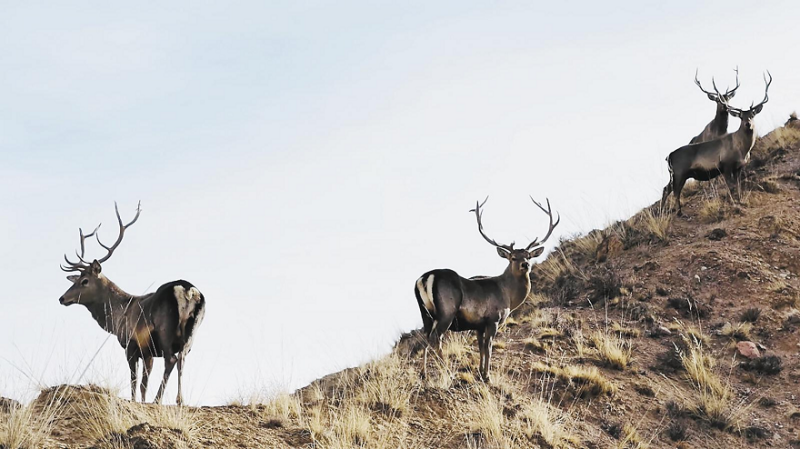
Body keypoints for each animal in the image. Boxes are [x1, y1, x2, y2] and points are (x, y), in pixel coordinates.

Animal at [58, 202, 205, 405]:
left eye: (84, 281)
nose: (62, 298)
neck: (118, 316)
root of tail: (187, 290)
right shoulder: (148, 351)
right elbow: (144, 382)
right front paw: (143, 401)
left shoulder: (131, 344)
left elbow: (135, 380)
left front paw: (136, 401)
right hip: (192, 331)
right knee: (182, 359)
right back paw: (179, 400)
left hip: (165, 329)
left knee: (171, 360)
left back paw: (158, 400)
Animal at [414, 196, 559, 382]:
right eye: (513, 257)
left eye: (528, 256)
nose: (525, 264)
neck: (508, 297)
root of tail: (426, 278)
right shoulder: (493, 318)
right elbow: (489, 347)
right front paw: (487, 375)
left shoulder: (479, 325)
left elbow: (481, 347)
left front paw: (480, 372)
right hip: (446, 311)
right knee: (436, 338)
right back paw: (447, 372)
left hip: (425, 313)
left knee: (425, 339)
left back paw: (423, 373)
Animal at [661, 72, 772, 216]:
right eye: (741, 116)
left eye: (752, 114)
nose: (748, 124)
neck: (742, 150)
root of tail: (668, 156)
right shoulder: (725, 165)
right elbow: (730, 186)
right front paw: (732, 203)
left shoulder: (739, 167)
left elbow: (738, 185)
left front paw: (741, 200)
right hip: (680, 172)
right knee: (675, 191)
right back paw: (679, 213)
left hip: (675, 174)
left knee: (666, 189)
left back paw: (663, 211)